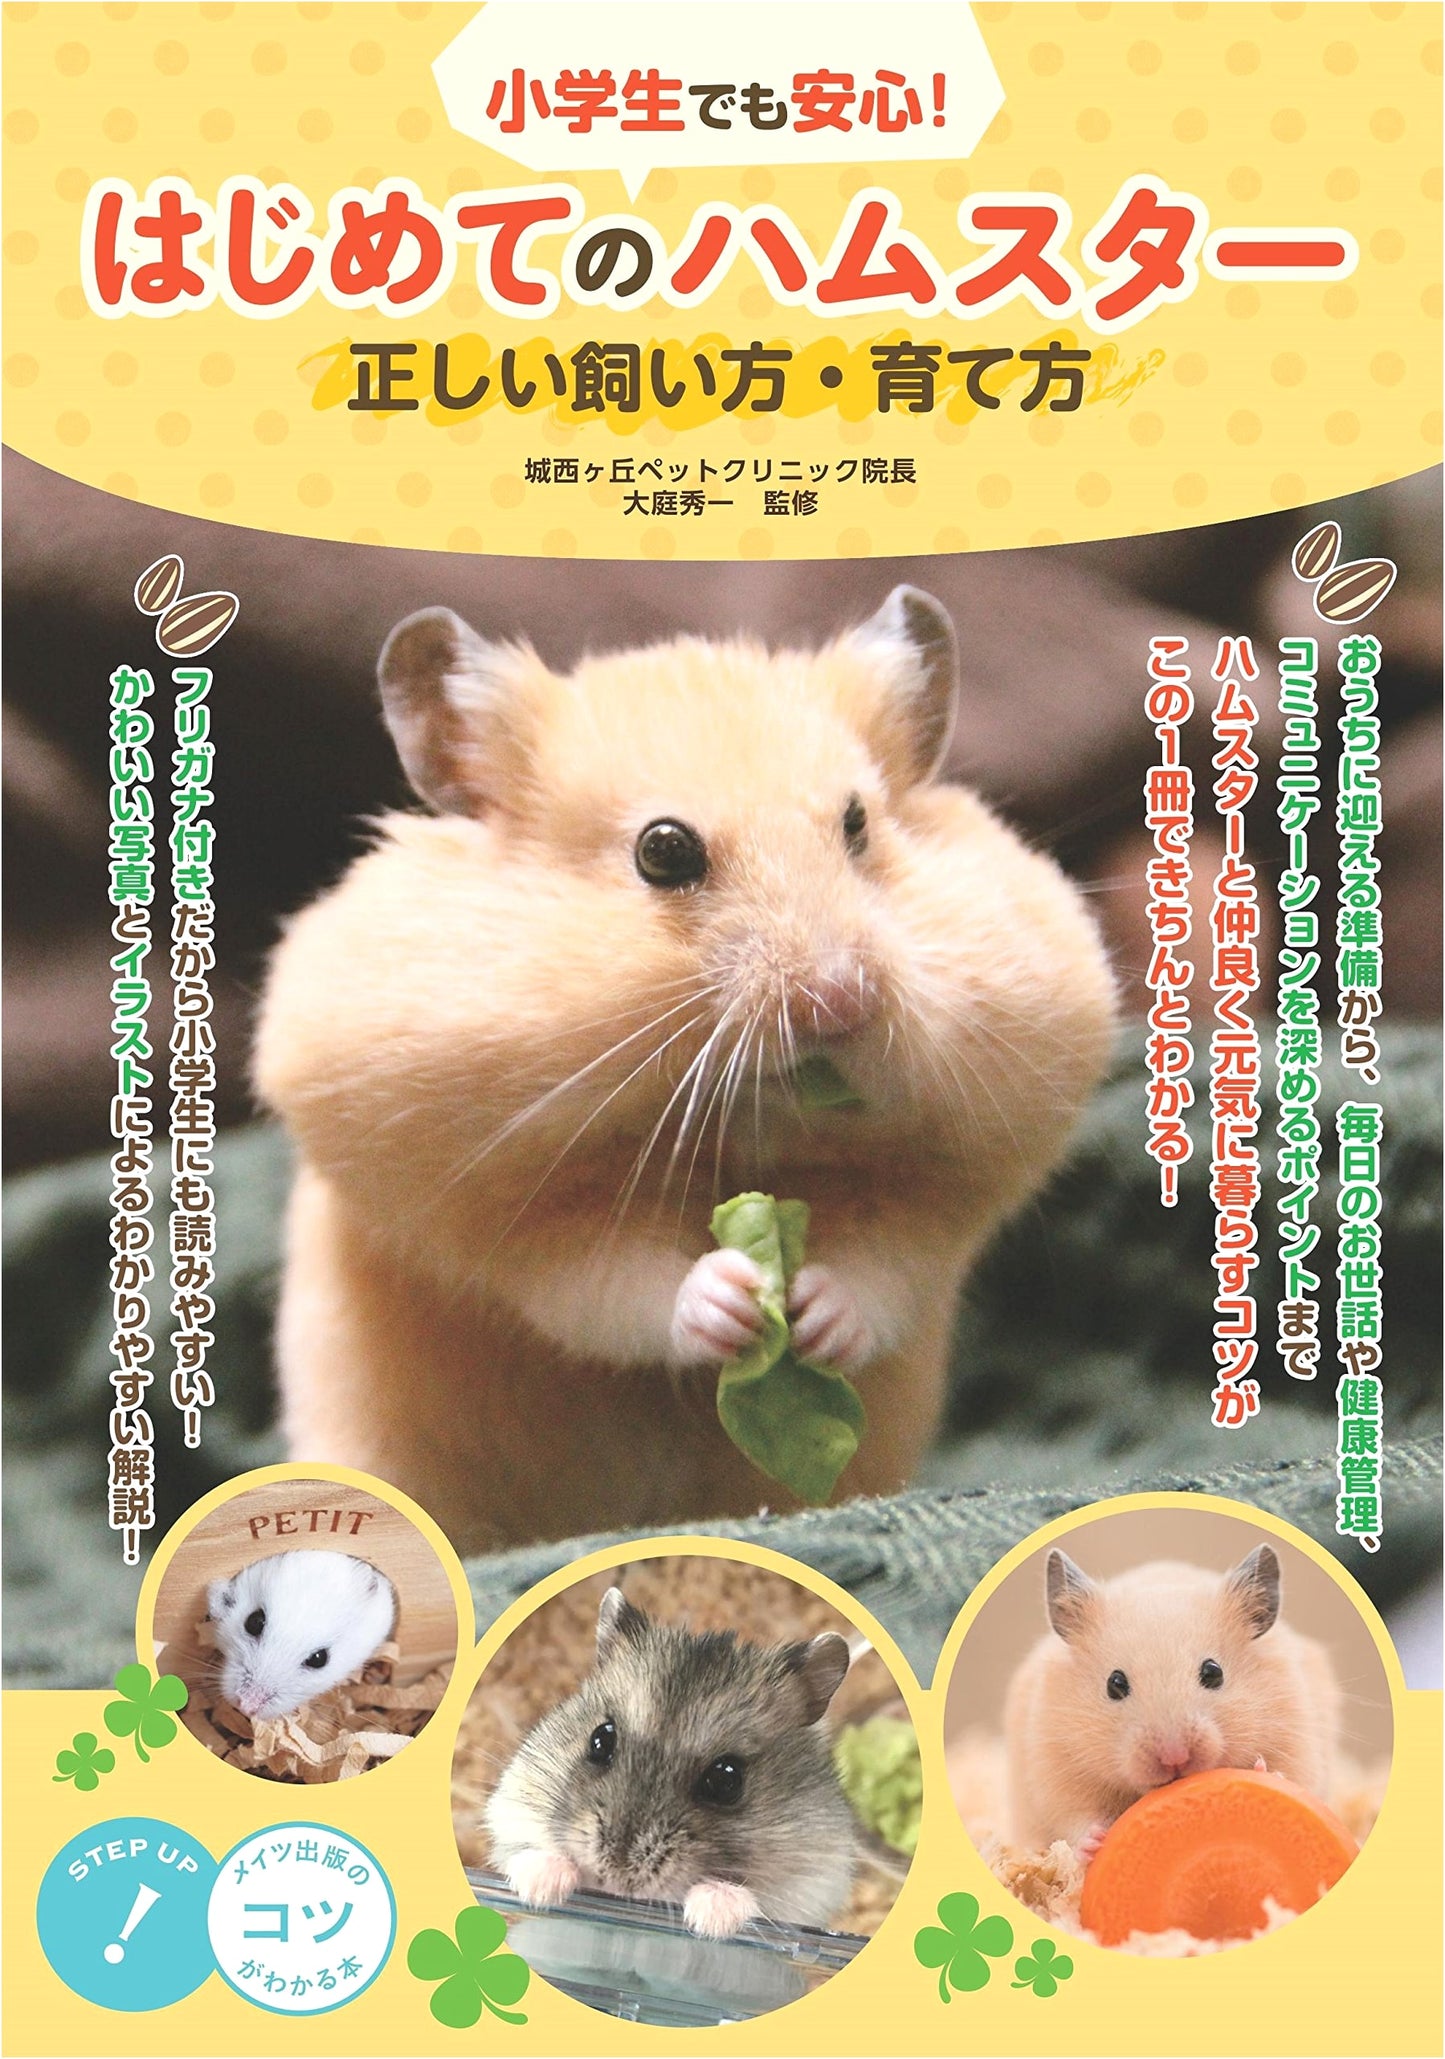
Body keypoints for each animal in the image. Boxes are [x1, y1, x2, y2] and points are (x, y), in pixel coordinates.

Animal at [254, 586, 1116, 1551]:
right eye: (664, 851)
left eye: (857, 825)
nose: (840, 1000)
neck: (745, 1125)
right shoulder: (495, 1207)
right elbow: (610, 1277)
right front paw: (734, 1296)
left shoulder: (955, 1172)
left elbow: (886, 1255)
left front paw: (813, 1311)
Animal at [485, 1587, 857, 1939]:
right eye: (600, 1740)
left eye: (727, 1780)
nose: (616, 1877)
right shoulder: (510, 1811)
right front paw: (541, 1888)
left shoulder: (815, 1886)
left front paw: (711, 1917)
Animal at [1004, 1544, 1341, 1856]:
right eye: (1115, 1683)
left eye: (1213, 1672)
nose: (1174, 1758)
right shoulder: (1055, 1761)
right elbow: (1072, 1815)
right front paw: (1094, 1843)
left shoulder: (1296, 1732)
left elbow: (1295, 1777)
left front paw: (1263, 1771)